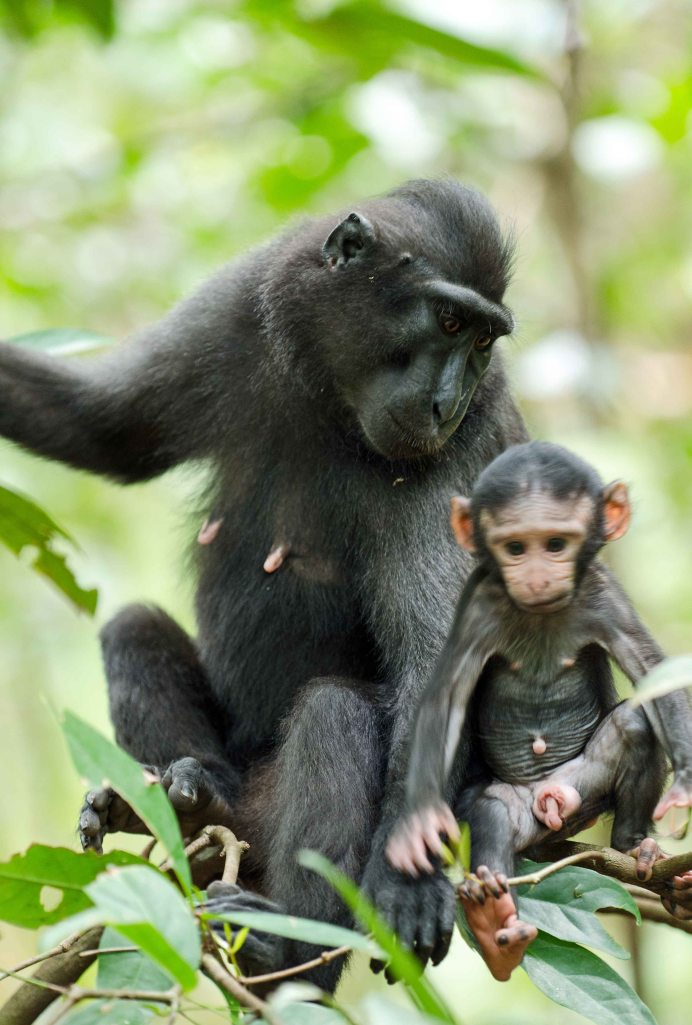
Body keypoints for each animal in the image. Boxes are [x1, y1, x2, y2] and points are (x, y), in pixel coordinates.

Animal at [0, 179, 533, 987]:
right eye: (447, 320)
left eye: (482, 343)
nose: (448, 403)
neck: (331, 400)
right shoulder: (234, 312)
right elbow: (102, 426)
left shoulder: (460, 451)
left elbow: (437, 661)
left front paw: (406, 883)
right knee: (132, 629)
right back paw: (196, 802)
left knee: (335, 714)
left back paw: (290, 956)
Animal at [386, 441, 692, 980]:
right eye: (514, 548)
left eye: (555, 544)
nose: (535, 573)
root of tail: (552, 802)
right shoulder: (479, 600)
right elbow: (445, 697)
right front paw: (418, 822)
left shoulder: (603, 594)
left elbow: (653, 673)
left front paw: (685, 786)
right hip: (519, 808)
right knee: (491, 812)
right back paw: (494, 926)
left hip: (584, 789)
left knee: (634, 725)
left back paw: (634, 845)